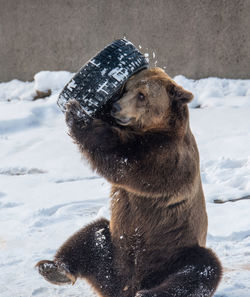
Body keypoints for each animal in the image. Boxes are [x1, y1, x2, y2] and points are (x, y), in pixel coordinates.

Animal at [36, 67, 222, 296]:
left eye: (142, 95)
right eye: (125, 88)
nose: (115, 107)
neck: (154, 129)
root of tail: (128, 286)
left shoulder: (167, 158)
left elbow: (122, 158)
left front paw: (76, 111)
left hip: (175, 252)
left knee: (202, 268)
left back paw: (150, 293)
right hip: (113, 254)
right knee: (91, 236)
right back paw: (54, 268)